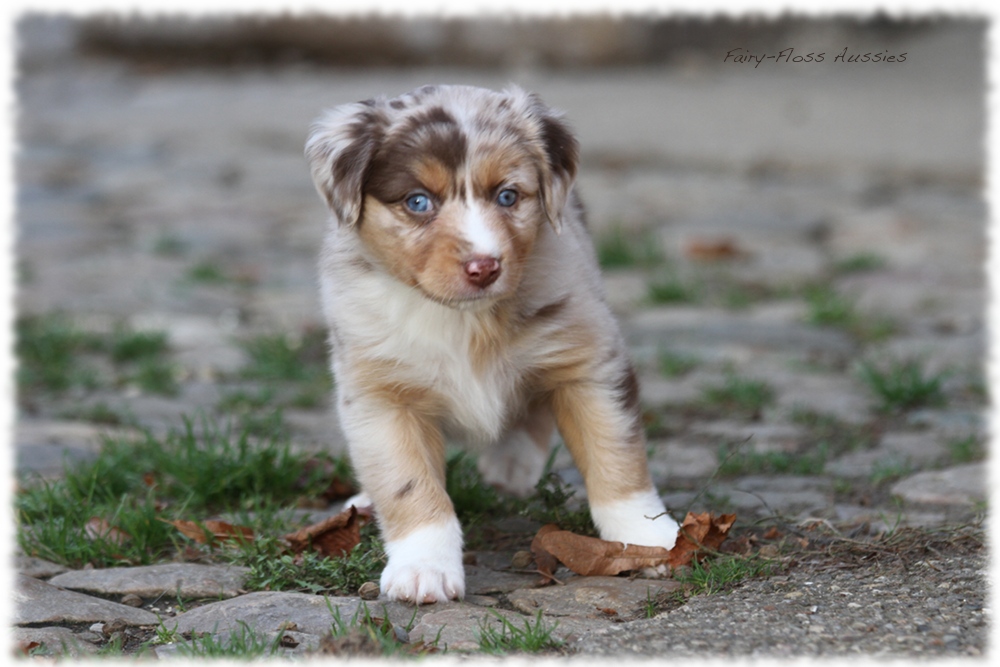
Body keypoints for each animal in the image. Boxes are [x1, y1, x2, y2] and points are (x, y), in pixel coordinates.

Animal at [304, 85, 680, 604]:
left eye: (507, 195)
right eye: (418, 201)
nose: (484, 266)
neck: (462, 319)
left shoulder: (589, 362)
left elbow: (616, 456)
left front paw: (648, 537)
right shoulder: (380, 395)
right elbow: (407, 483)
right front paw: (423, 569)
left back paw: (512, 463)